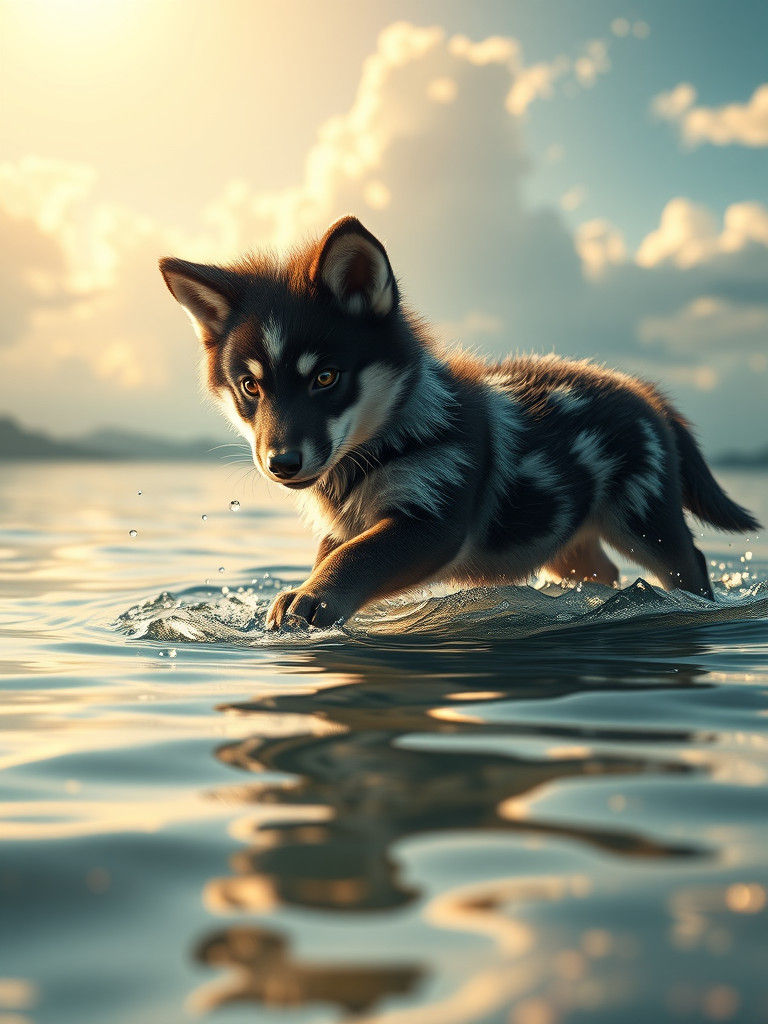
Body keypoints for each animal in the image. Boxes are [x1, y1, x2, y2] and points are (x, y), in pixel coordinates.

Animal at [160, 216, 760, 629]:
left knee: (690, 561)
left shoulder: (433, 517)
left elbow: (359, 557)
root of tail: (642, 393)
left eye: (326, 378)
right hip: (565, 534)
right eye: (250, 387)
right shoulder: (344, 526)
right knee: (601, 571)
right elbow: (338, 553)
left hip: (644, 514)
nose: (281, 463)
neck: (386, 441)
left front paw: (308, 600)